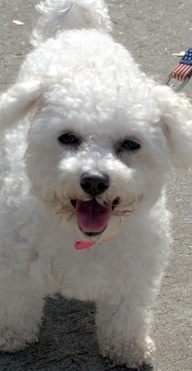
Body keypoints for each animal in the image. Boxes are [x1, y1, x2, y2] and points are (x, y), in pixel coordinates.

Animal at [0, 0, 192, 370]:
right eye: (67, 138)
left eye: (131, 144)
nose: (93, 180)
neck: (83, 238)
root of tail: (82, 31)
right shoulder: (15, 264)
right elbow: (16, 303)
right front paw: (10, 336)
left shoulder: (133, 273)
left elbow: (125, 316)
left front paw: (128, 348)